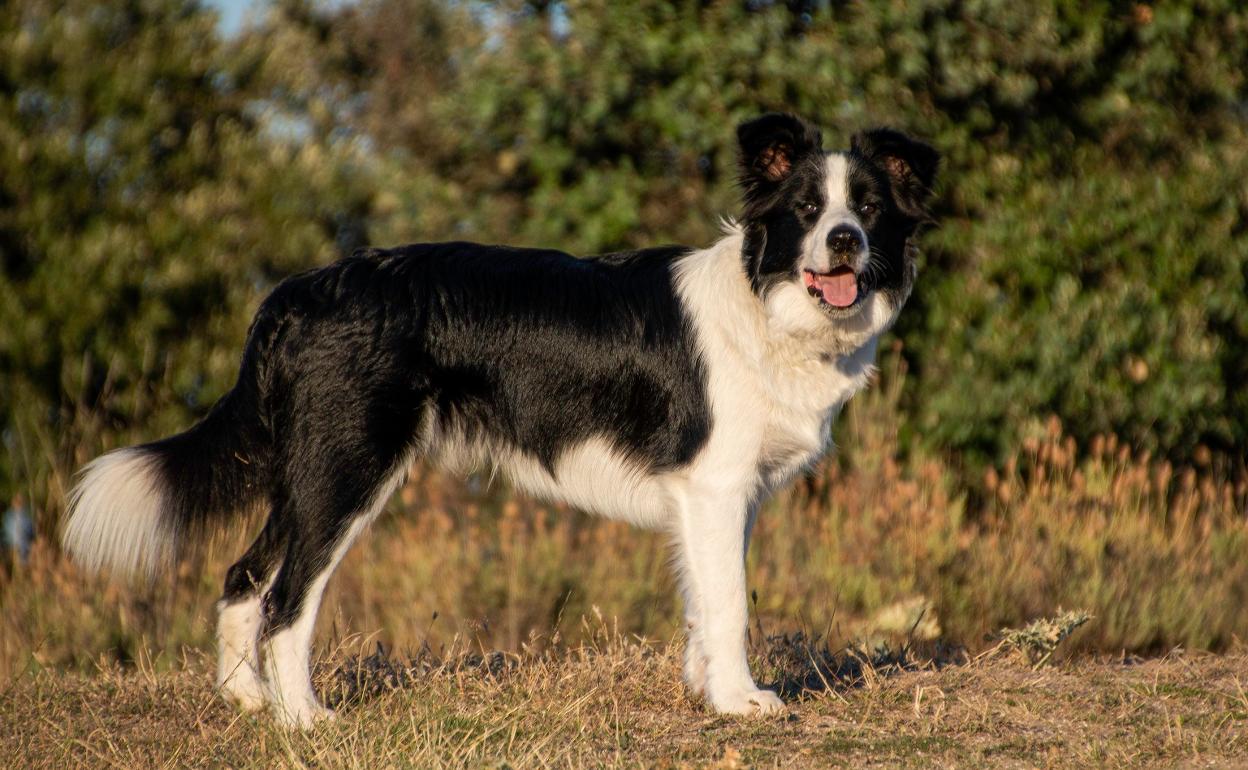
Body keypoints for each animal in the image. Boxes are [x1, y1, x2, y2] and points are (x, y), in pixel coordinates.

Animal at [58, 114, 938, 728]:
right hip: (349, 468)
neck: (767, 309)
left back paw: (248, 705)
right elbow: (729, 602)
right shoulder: (715, 487)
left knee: (243, 576)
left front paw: (705, 690)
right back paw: (304, 720)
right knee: (286, 599)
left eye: (869, 209)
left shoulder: (721, 499)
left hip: (309, 471)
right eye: (805, 210)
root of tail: (294, 294)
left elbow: (703, 598)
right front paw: (740, 703)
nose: (845, 242)